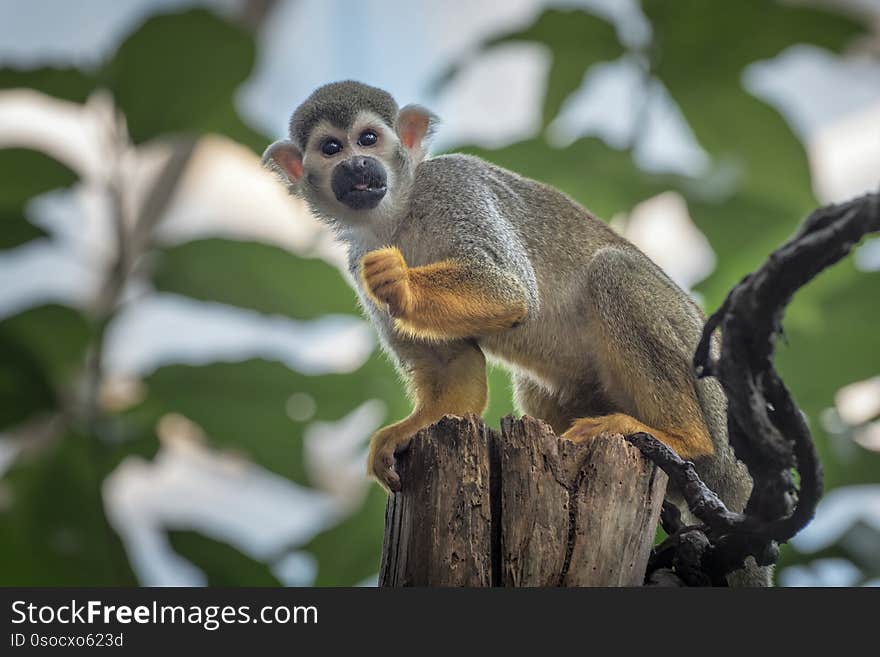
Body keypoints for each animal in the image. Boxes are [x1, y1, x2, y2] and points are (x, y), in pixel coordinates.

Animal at [264, 80, 768, 584]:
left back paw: (681, 436)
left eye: (367, 139)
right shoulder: (357, 258)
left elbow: (511, 290)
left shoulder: (455, 188)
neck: (398, 214)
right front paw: (410, 429)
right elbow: (451, 366)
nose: (356, 165)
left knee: (614, 271)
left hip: (710, 393)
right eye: (331, 148)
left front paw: (402, 281)